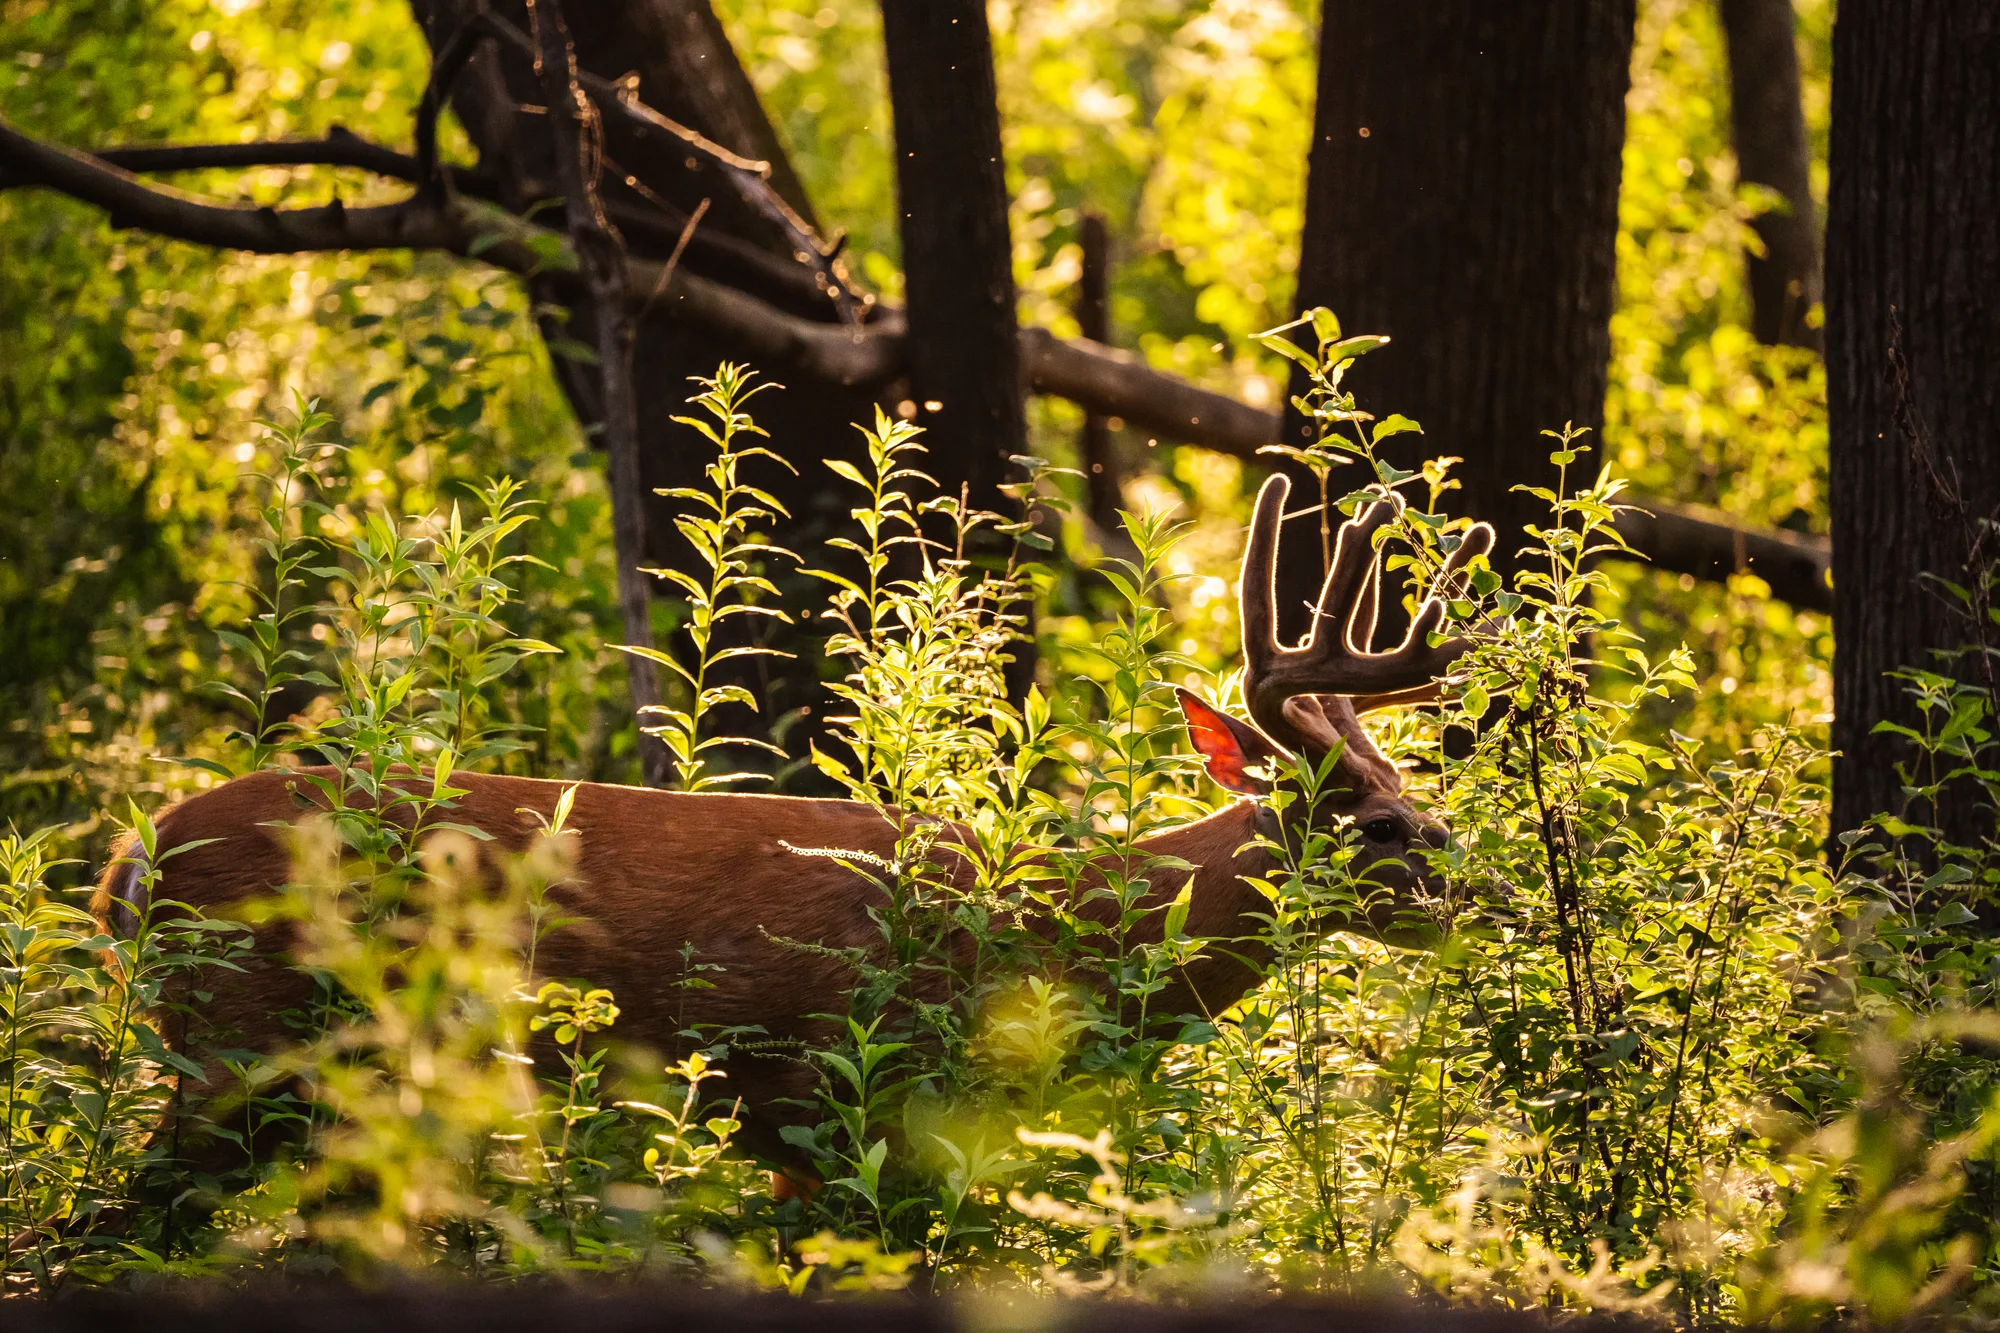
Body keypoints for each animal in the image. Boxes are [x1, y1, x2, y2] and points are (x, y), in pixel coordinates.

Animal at [94, 474, 1493, 1165]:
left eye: (1421, 803)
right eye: (1375, 822)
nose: (1480, 895)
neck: (1052, 931)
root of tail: (126, 866)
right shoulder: (826, 1089)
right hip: (239, 1043)